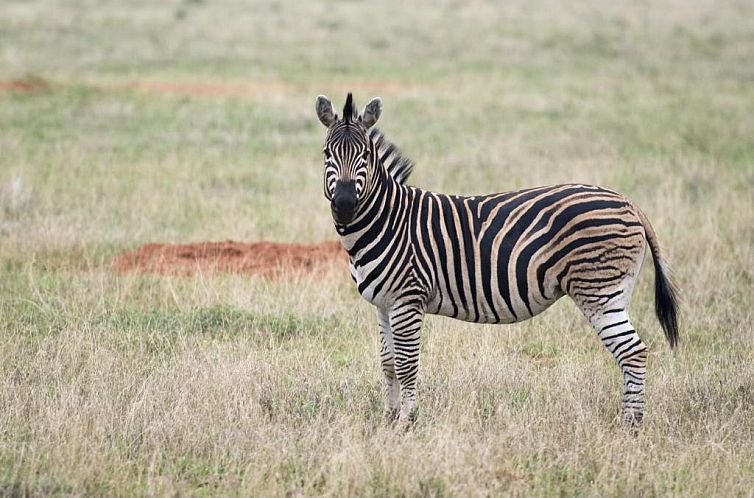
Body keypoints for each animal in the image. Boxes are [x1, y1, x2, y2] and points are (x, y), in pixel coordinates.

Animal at [312, 91, 676, 426]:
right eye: (327, 154)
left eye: (365, 155)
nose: (344, 204)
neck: (388, 220)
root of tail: (627, 201)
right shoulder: (384, 304)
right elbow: (387, 363)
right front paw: (388, 419)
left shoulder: (408, 299)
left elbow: (406, 364)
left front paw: (406, 421)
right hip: (616, 292)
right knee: (631, 351)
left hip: (599, 291)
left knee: (633, 351)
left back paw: (630, 425)